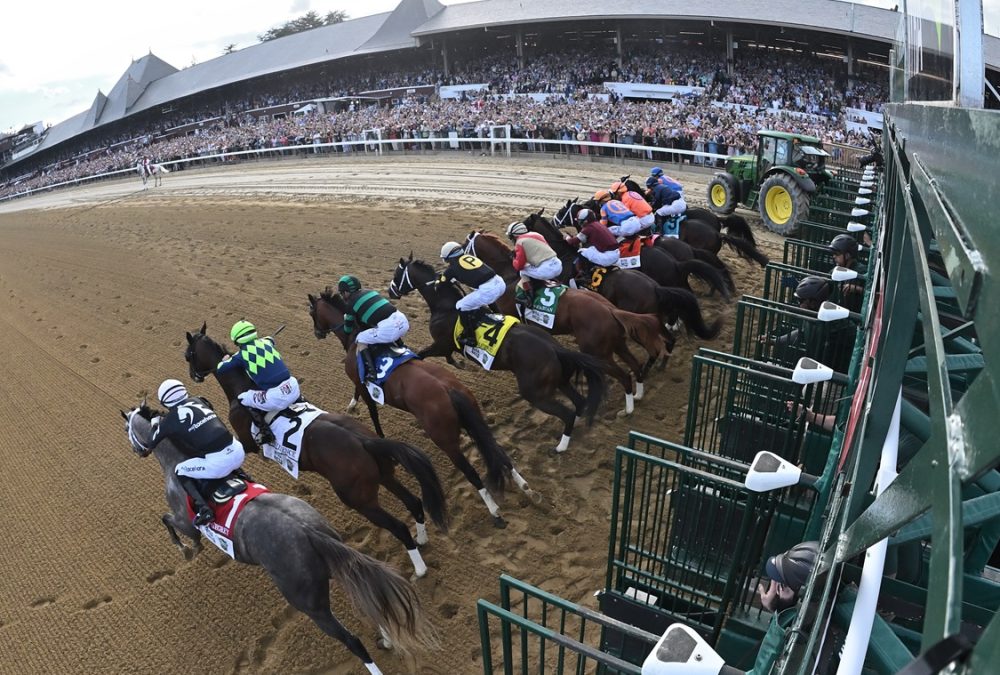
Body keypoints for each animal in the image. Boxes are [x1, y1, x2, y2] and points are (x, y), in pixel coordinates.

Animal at [121, 404, 434, 672]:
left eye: (127, 429)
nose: (137, 451)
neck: (178, 460)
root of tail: (309, 531)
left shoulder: (186, 521)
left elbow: (169, 522)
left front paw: (186, 549)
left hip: (309, 602)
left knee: (352, 640)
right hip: (336, 567)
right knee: (369, 601)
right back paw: (386, 636)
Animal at [185, 324, 450, 580]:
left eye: (189, 355)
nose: (193, 376)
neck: (240, 388)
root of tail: (364, 441)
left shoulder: (246, 442)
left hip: (359, 499)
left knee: (398, 527)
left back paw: (419, 569)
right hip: (384, 476)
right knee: (414, 502)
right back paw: (422, 537)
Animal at [308, 290, 540, 528]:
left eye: (312, 312)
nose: (317, 332)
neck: (355, 338)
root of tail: (448, 390)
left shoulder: (363, 386)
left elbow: (372, 413)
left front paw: (362, 415)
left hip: (445, 439)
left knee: (471, 472)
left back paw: (495, 512)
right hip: (474, 419)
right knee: (496, 449)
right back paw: (526, 489)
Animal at [388, 258, 608, 454]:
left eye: (397, 274)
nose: (391, 292)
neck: (446, 306)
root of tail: (555, 348)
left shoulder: (441, 345)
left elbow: (424, 354)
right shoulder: (445, 346)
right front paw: (457, 363)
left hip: (535, 392)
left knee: (567, 413)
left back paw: (560, 447)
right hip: (558, 381)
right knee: (579, 402)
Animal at [464, 231, 668, 412]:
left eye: (465, 246)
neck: (509, 276)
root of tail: (611, 310)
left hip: (598, 352)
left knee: (624, 375)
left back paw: (627, 409)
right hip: (617, 344)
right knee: (635, 366)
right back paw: (638, 395)